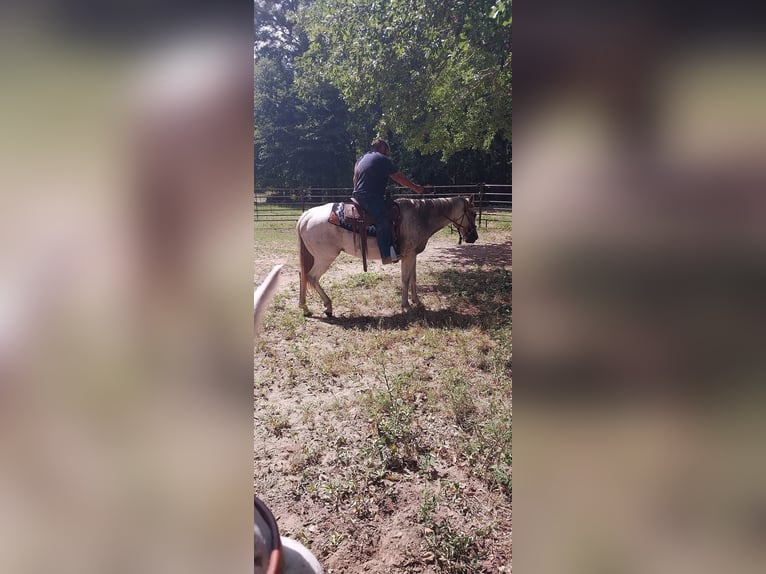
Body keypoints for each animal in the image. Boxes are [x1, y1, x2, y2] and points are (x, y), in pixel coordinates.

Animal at [296, 197, 476, 316]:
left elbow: (413, 278)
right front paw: (406, 305)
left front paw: (417, 301)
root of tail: (306, 216)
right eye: (473, 213)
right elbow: (405, 279)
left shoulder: (412, 255)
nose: (474, 237)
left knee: (303, 275)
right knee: (311, 276)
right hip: (325, 258)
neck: (420, 216)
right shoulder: (408, 255)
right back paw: (327, 305)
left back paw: (305, 307)